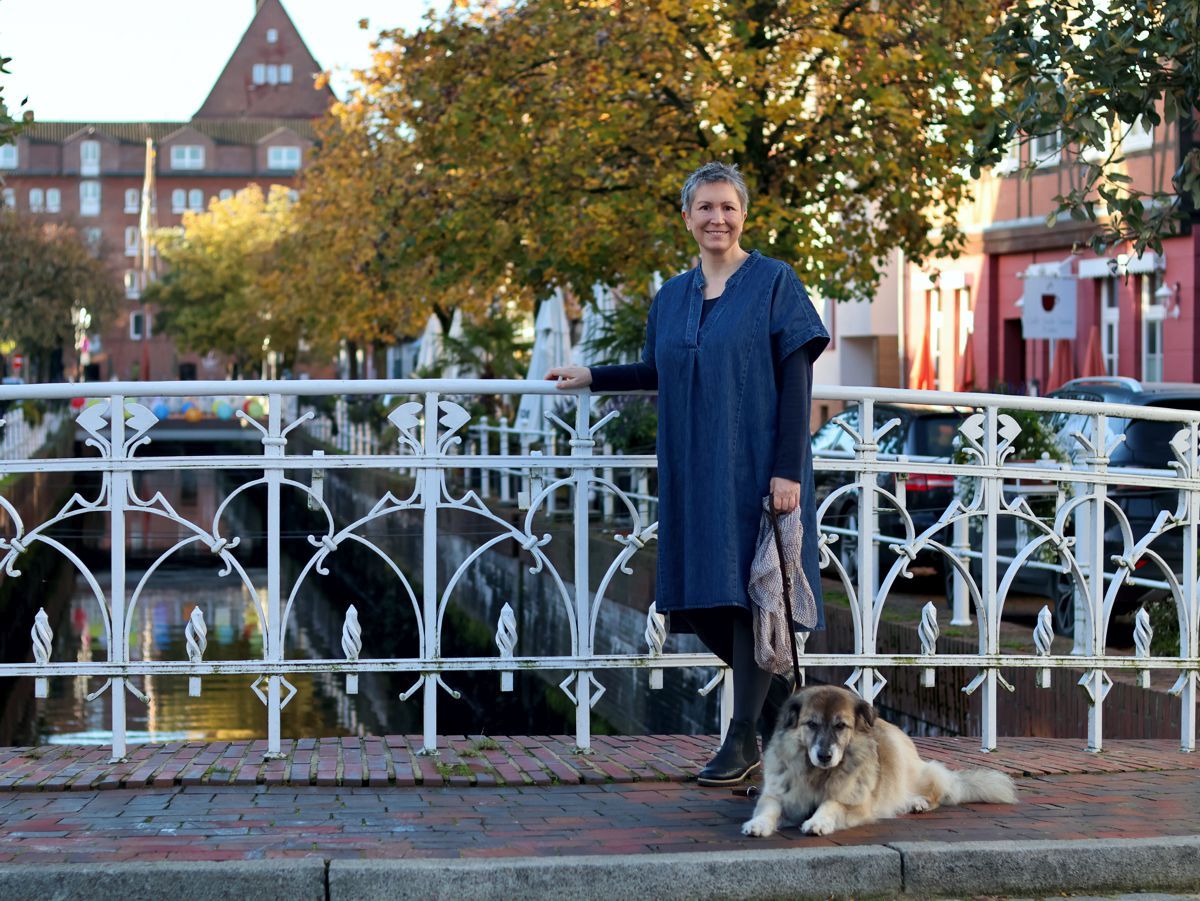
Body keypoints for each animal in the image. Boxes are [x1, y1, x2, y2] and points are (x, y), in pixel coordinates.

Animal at [748, 686, 1012, 835]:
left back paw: (918, 802)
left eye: (840, 726)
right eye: (811, 724)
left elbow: (831, 804)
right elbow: (768, 809)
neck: (818, 774)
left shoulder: (855, 804)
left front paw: (817, 822)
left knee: (935, 790)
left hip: (911, 769)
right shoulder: (776, 796)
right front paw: (757, 824)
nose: (824, 756)